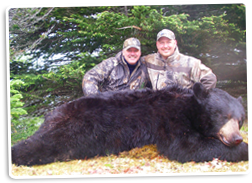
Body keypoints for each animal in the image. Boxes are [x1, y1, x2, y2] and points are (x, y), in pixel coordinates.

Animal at [11, 83, 248, 166]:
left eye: (240, 119)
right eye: (223, 115)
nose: (236, 138)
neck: (188, 106)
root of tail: (51, 113)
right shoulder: (170, 120)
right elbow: (187, 148)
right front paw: (245, 149)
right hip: (72, 128)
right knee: (40, 145)